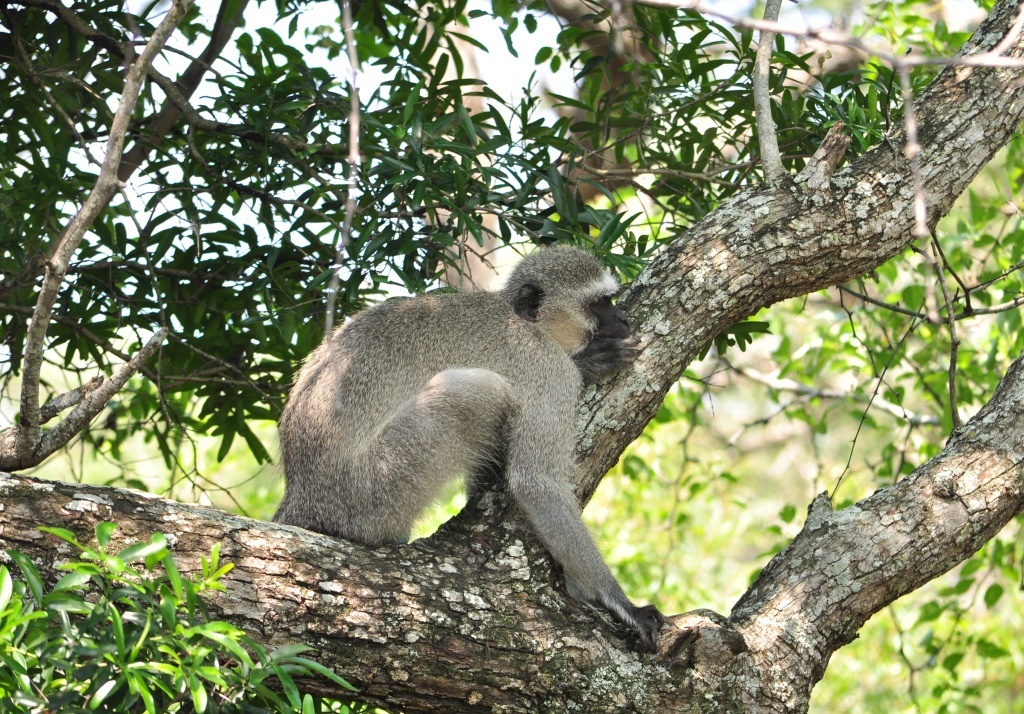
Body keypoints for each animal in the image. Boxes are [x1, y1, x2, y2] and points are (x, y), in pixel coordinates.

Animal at [276, 247, 663, 647]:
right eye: (598, 304)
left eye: (610, 301)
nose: (622, 318)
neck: (524, 322)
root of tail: (303, 494)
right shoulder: (549, 370)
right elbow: (535, 481)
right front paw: (615, 601)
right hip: (371, 491)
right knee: (475, 389)